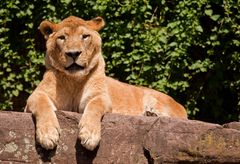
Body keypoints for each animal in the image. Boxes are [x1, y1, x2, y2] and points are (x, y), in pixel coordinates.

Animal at [24, 16, 188, 151]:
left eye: (85, 36)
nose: (73, 53)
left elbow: (94, 106)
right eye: (62, 38)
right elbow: (43, 105)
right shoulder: (35, 97)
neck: (74, 80)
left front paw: (89, 135)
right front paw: (48, 134)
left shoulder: (101, 97)